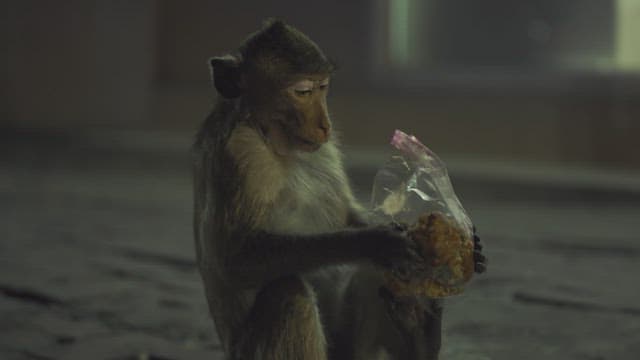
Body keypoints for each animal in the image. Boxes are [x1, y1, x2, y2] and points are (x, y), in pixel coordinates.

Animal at [192, 19, 488, 360]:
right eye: (302, 91)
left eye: (322, 88)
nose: (325, 125)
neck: (275, 144)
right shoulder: (242, 153)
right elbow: (233, 257)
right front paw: (375, 241)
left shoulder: (324, 149)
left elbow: (347, 218)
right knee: (289, 293)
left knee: (371, 277)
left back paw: (420, 338)